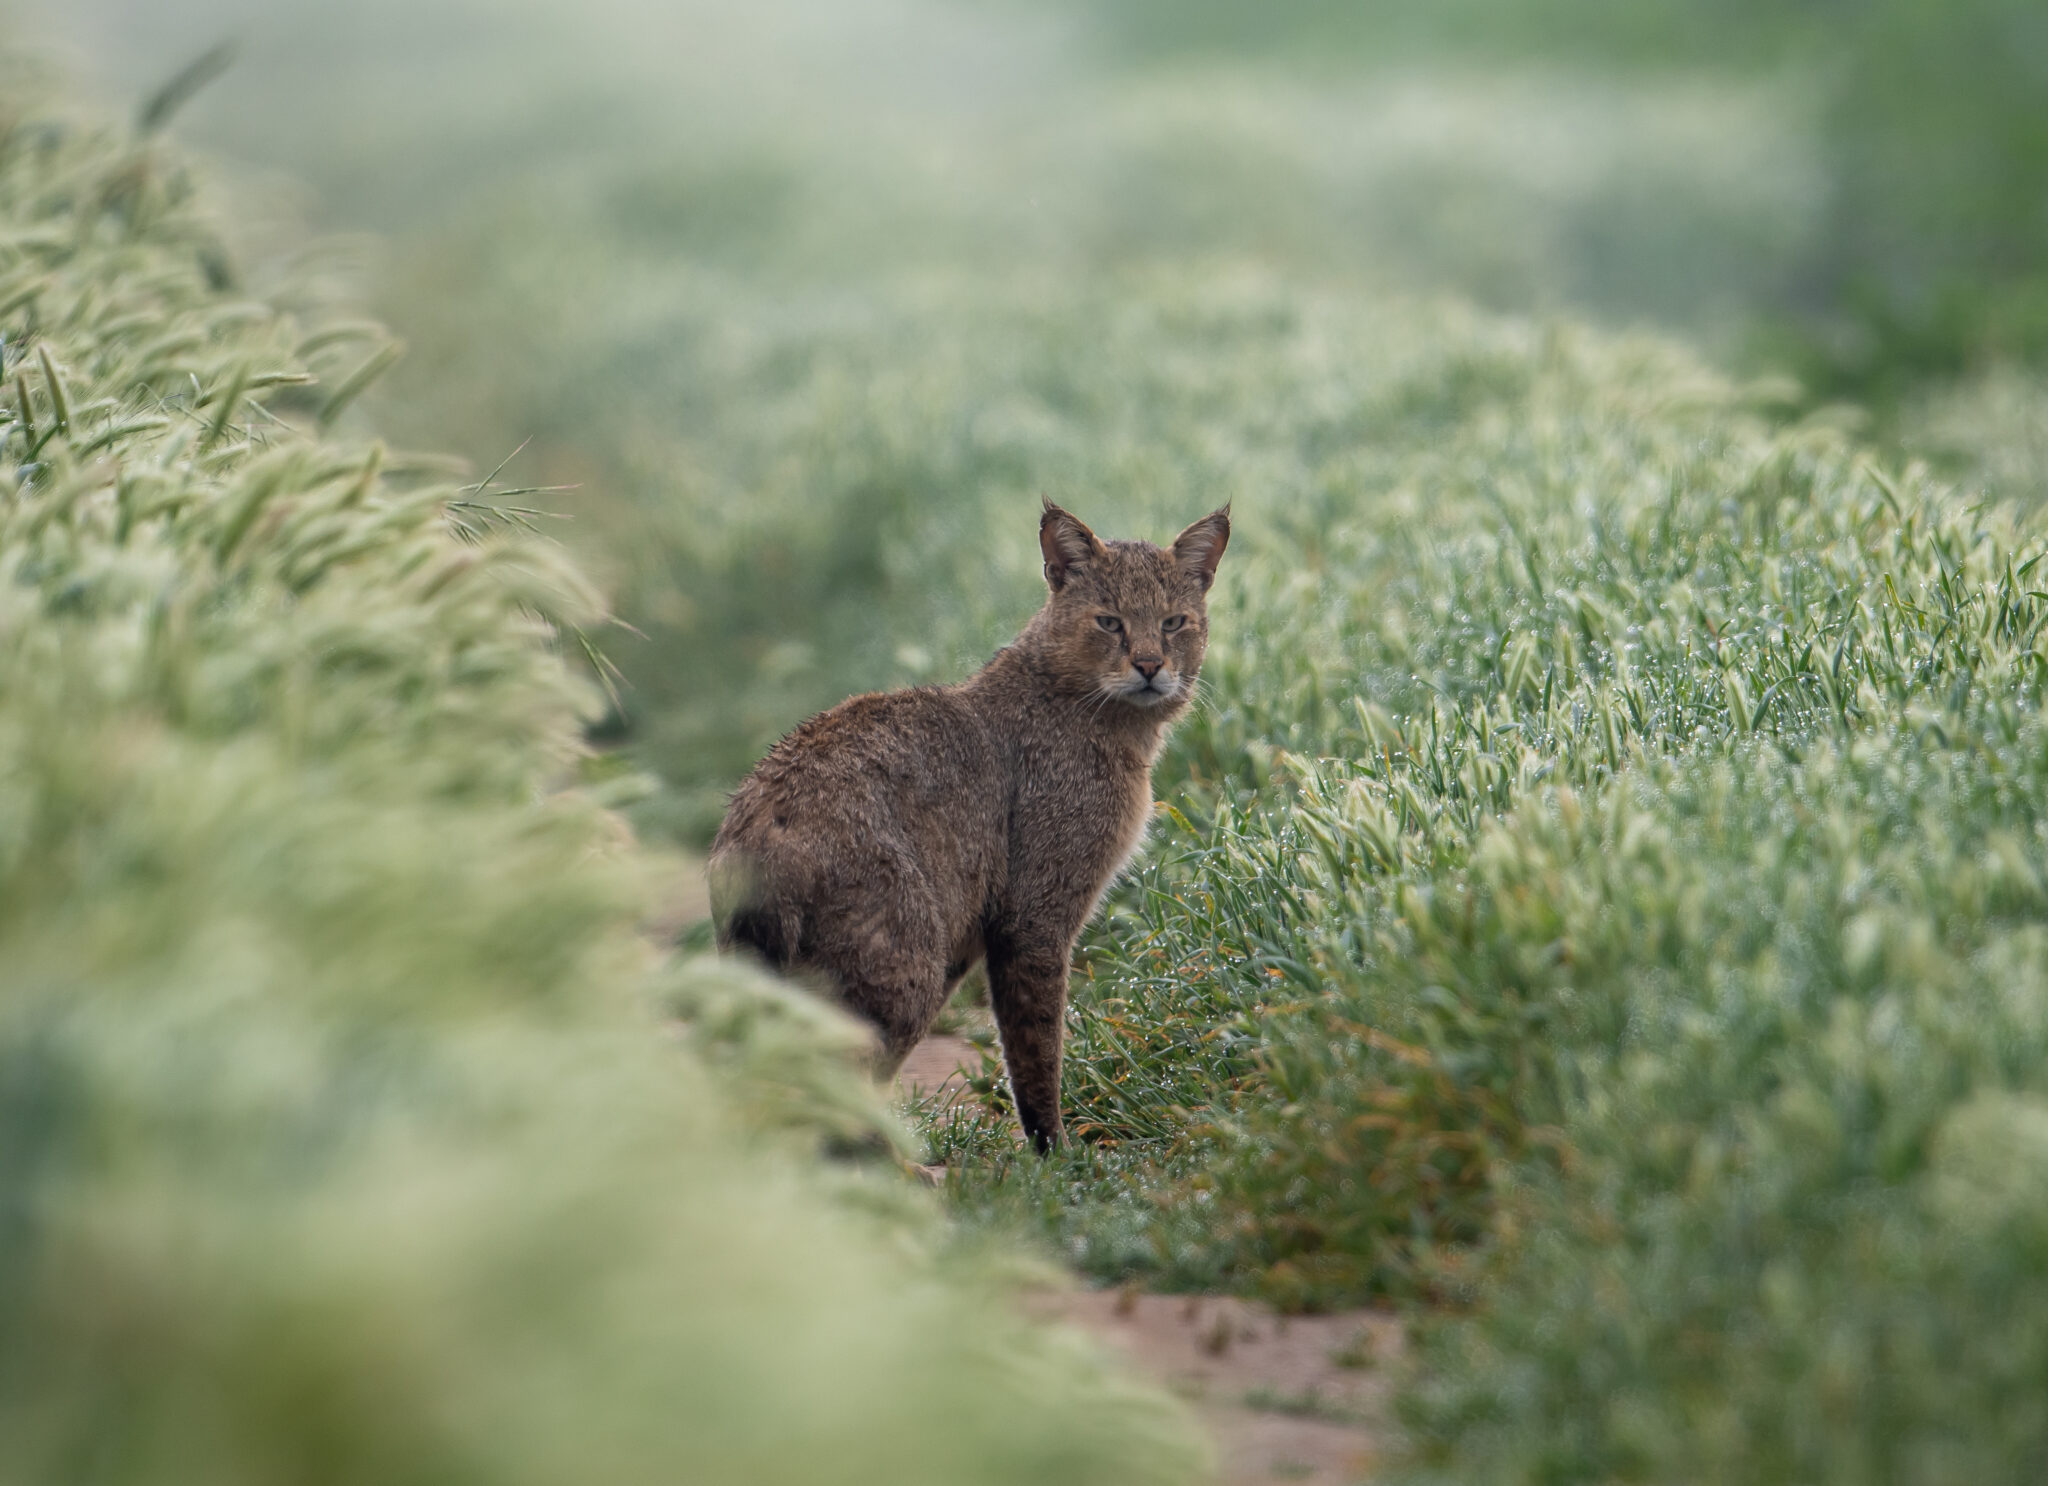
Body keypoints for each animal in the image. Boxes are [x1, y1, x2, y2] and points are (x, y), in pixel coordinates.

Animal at [712, 501, 1228, 1154]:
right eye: (1110, 622)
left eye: (1173, 622)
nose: (1150, 665)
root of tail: (758, 821)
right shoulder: (1032, 919)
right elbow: (1036, 1047)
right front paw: (1056, 1153)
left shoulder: (980, 933)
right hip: (901, 971)